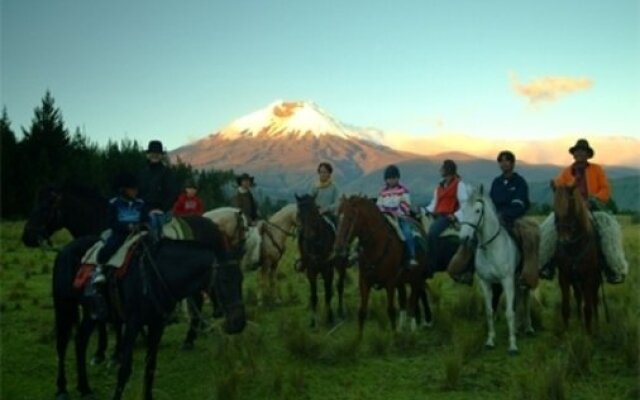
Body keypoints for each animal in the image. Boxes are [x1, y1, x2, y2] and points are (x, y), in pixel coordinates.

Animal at [54, 217, 248, 400]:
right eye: (224, 280)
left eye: (241, 279)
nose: (238, 322)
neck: (152, 274)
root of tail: (65, 249)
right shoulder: (132, 324)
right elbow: (125, 369)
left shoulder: (157, 324)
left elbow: (150, 366)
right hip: (64, 305)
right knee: (62, 344)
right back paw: (62, 389)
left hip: (90, 313)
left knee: (80, 341)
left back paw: (85, 389)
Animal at [330, 195, 430, 336]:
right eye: (337, 216)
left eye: (350, 218)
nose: (338, 248)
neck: (376, 245)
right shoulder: (364, 281)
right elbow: (362, 312)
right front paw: (358, 339)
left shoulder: (390, 282)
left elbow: (391, 311)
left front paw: (395, 337)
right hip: (401, 281)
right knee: (404, 300)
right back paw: (402, 328)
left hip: (416, 278)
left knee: (413, 302)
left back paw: (413, 329)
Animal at [458, 185, 532, 354]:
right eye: (463, 209)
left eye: (478, 210)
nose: (464, 238)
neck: (491, 248)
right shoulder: (486, 283)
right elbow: (489, 311)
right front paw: (490, 340)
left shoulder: (507, 281)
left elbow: (509, 313)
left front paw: (512, 345)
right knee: (519, 299)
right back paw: (517, 328)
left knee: (525, 299)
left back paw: (528, 327)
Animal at [552, 183, 604, 332]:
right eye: (554, 208)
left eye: (570, 208)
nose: (563, 240)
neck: (574, 247)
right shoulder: (564, 276)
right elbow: (566, 308)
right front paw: (567, 332)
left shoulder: (588, 277)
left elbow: (588, 308)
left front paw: (589, 333)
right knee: (578, 296)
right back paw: (580, 321)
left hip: (595, 278)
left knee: (594, 299)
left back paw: (596, 323)